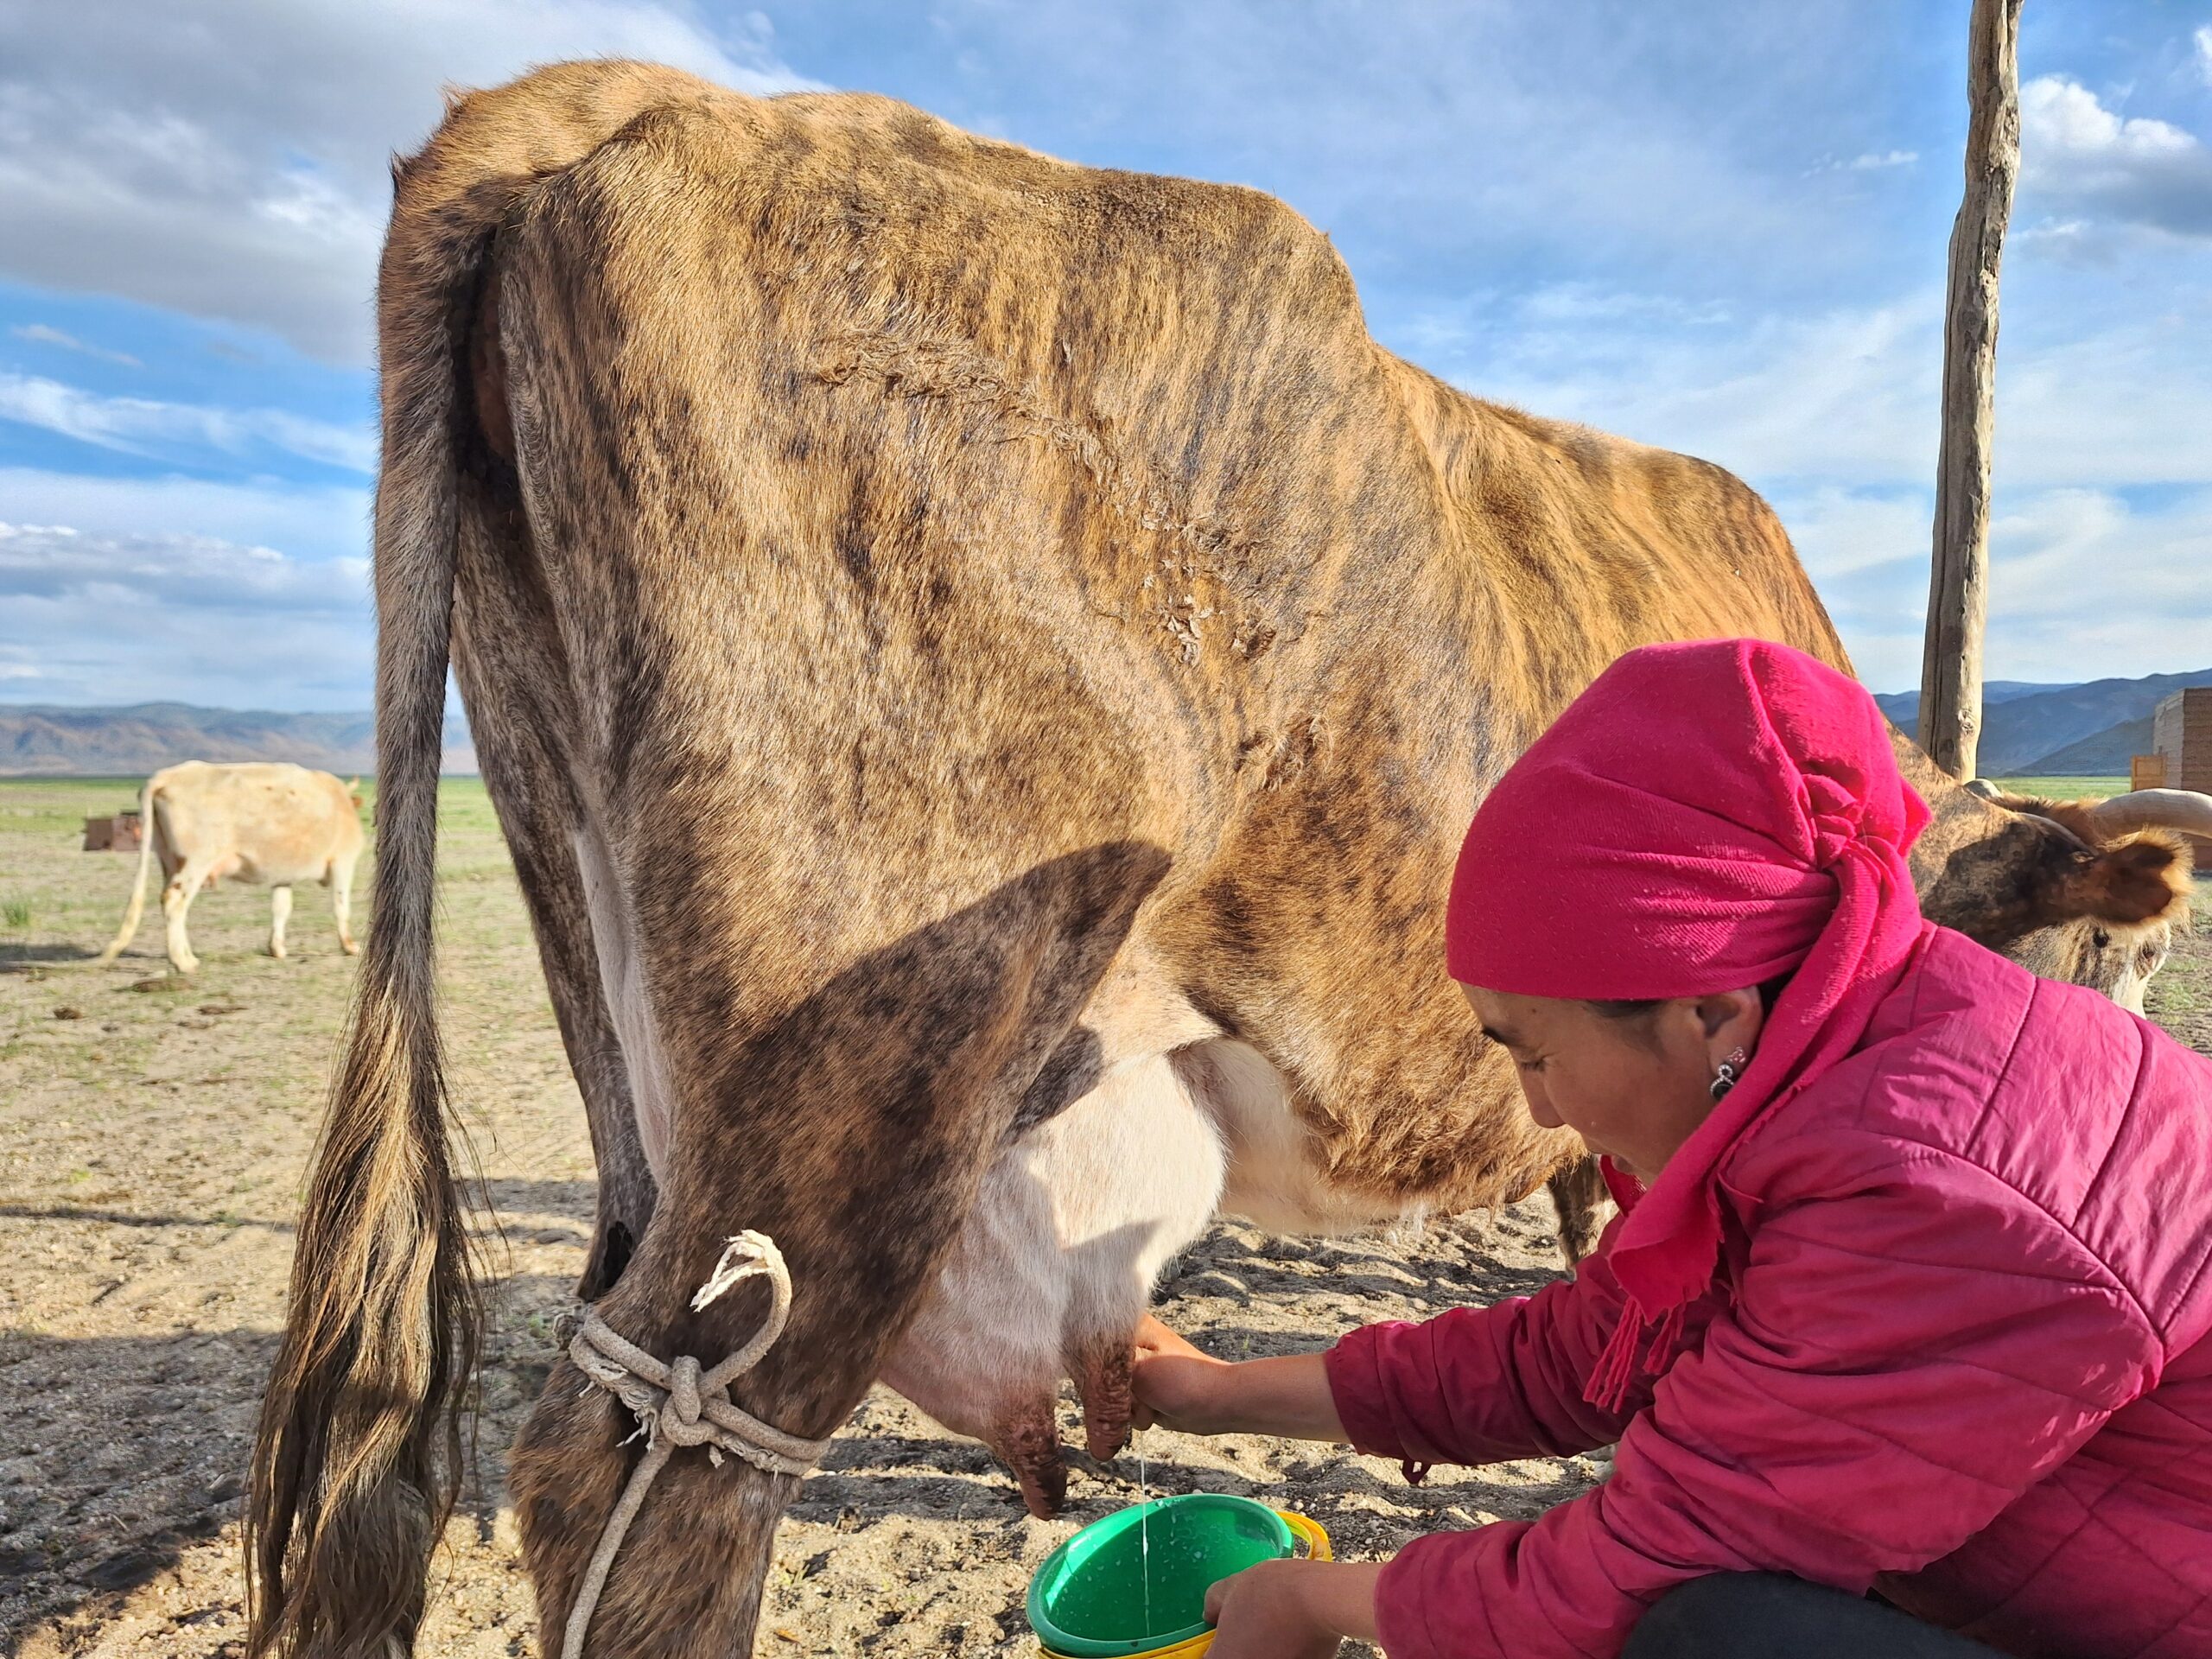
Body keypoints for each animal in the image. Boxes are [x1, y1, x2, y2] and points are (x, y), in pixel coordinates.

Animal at [95, 762, 364, 975]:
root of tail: (167, 776)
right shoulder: (343, 862)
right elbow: (341, 907)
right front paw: (350, 946)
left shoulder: (282, 874)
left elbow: (281, 909)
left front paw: (276, 948)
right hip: (197, 861)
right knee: (174, 901)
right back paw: (183, 962)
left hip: (169, 861)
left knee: (171, 904)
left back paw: (187, 956)